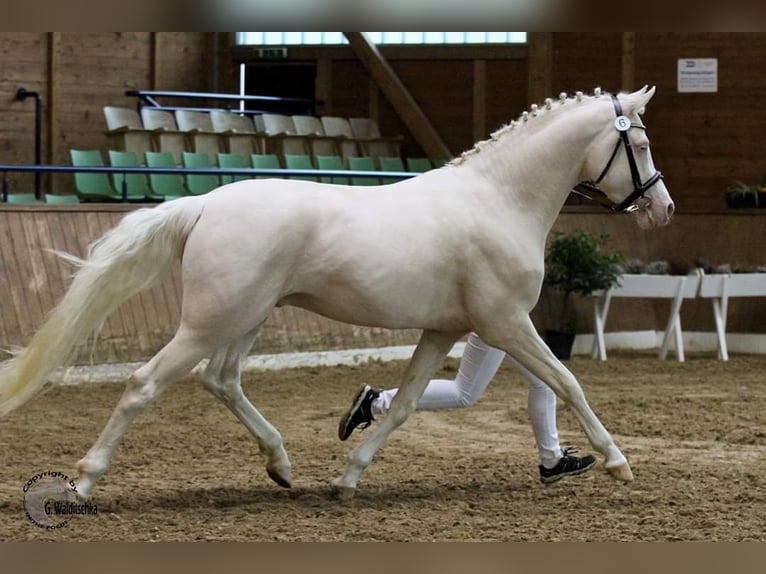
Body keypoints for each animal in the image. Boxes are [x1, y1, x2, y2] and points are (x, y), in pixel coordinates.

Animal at [0, 88, 672, 502]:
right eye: (639, 145)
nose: (661, 209)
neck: (500, 198)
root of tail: (205, 203)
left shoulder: (446, 328)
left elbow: (404, 404)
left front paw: (348, 478)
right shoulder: (506, 323)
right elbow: (567, 382)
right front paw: (616, 461)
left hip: (246, 318)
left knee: (222, 379)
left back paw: (281, 465)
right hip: (211, 321)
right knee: (144, 383)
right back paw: (83, 484)